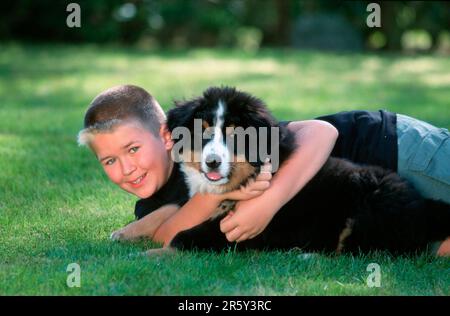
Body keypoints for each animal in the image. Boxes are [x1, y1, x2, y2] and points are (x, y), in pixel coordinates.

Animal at [165, 86, 450, 254]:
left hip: (367, 211)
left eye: (237, 134)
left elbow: (183, 237)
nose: (212, 162)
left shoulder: (251, 230)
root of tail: (423, 206)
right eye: (203, 130)